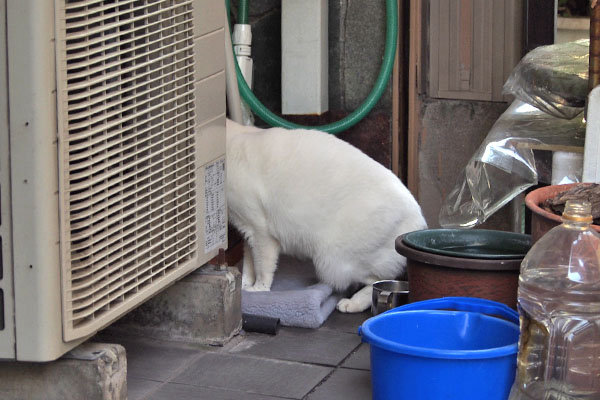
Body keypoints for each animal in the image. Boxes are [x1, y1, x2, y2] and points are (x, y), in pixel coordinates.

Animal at [225, 119, 426, 312]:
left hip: (332, 261)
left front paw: (258, 290)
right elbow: (249, 264)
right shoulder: (247, 231)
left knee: (377, 282)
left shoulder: (260, 231)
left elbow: (262, 268)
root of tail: (420, 220)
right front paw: (243, 286)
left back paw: (351, 303)